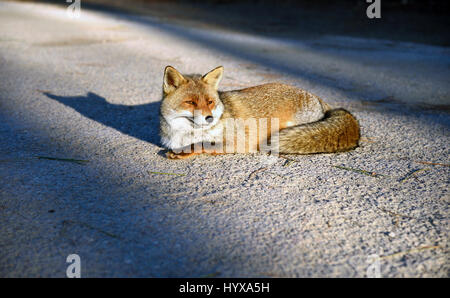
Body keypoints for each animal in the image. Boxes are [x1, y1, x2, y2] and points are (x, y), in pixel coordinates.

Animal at [160, 65, 360, 158]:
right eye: (190, 102)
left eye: (209, 102)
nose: (209, 118)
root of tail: (320, 99)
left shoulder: (238, 142)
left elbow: (203, 144)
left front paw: (184, 151)